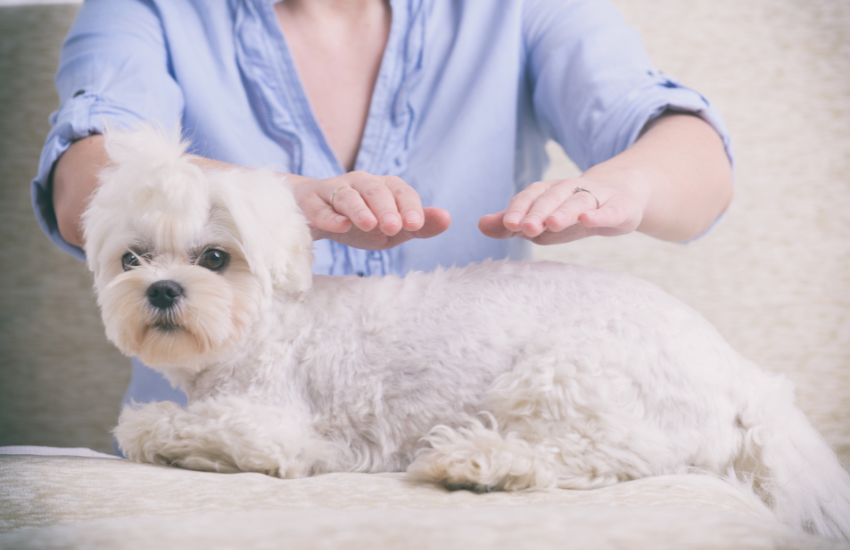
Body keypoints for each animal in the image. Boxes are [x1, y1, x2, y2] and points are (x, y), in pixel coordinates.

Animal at [86, 126, 848, 540]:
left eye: (216, 258)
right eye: (133, 259)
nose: (162, 289)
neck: (274, 323)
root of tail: (745, 378)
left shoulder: (274, 427)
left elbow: (155, 426)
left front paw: (163, 436)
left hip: (563, 377)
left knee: (601, 457)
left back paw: (480, 462)